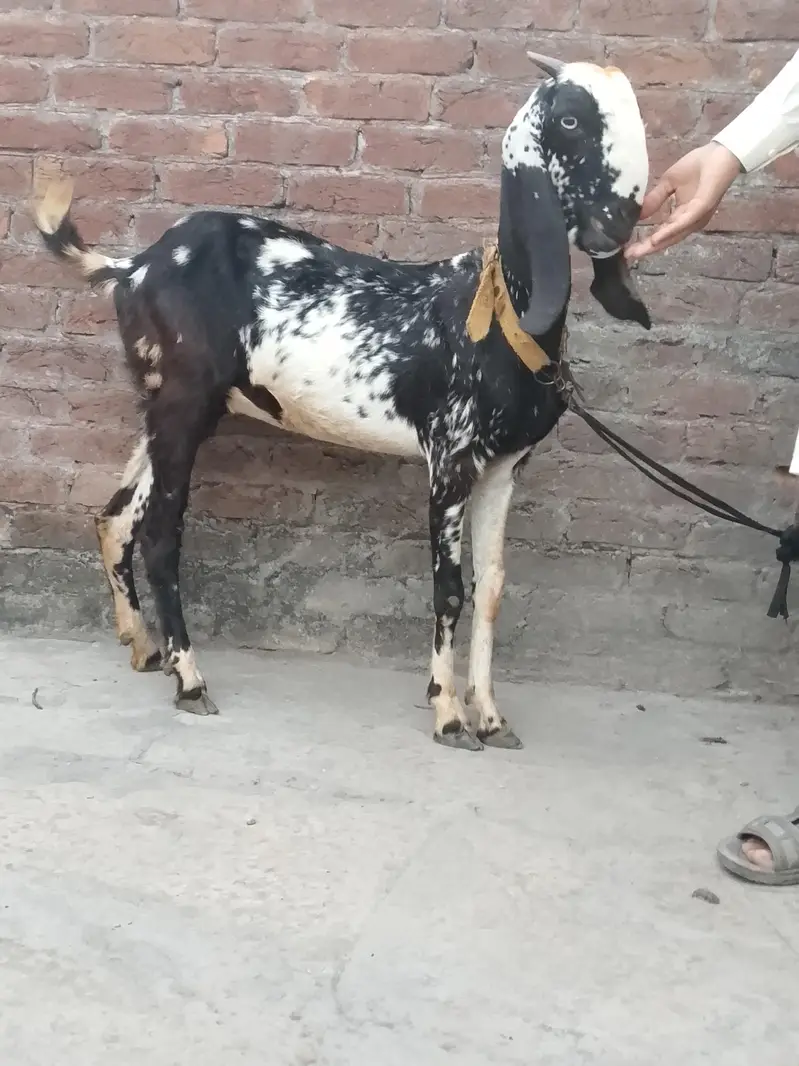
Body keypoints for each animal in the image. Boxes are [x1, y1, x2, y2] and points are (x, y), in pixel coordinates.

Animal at [33, 51, 651, 751]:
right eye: (571, 119)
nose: (619, 225)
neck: (500, 313)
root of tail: (132, 267)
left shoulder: (502, 466)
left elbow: (491, 586)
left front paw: (493, 719)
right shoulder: (450, 458)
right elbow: (449, 589)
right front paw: (448, 714)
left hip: (171, 405)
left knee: (116, 517)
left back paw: (144, 647)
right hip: (183, 405)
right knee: (161, 535)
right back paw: (190, 680)